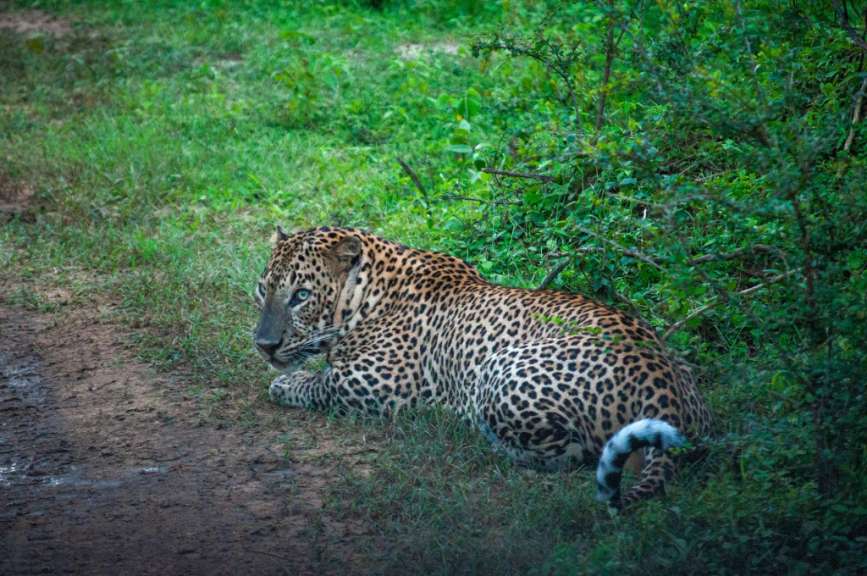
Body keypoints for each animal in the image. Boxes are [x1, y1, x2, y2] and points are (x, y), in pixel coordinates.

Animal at [253, 226, 712, 508]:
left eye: (301, 295)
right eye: (263, 289)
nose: (263, 345)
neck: (367, 293)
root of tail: (663, 385)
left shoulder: (377, 385)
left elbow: (320, 384)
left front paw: (285, 383)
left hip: (499, 373)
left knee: (572, 452)